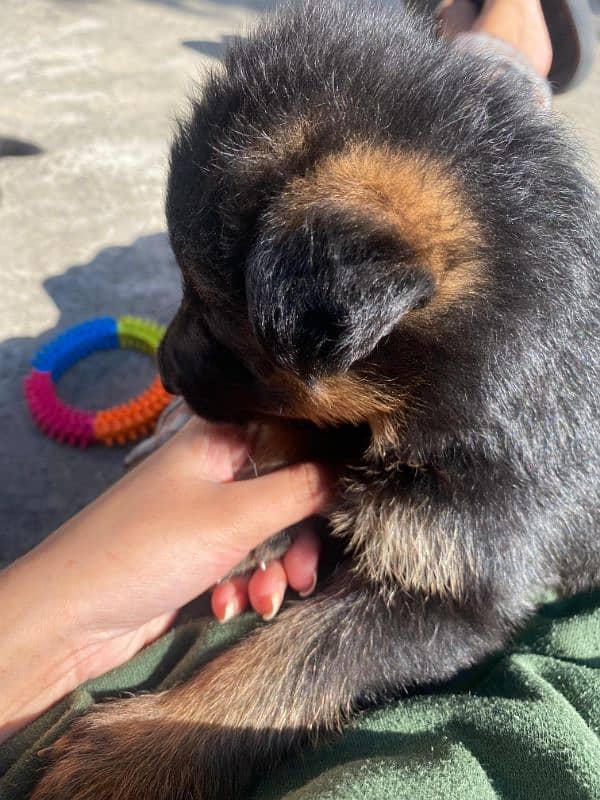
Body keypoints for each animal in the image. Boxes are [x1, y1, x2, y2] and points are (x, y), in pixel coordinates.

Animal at [32, 1, 600, 800]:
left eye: (214, 320)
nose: (166, 376)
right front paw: (264, 508)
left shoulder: (452, 584)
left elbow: (292, 660)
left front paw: (127, 755)